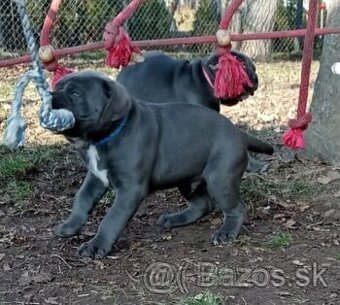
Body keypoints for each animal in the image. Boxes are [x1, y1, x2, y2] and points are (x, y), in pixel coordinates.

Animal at [51, 70, 274, 258]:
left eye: (75, 93)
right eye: (56, 86)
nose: (50, 96)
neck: (103, 138)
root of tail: (238, 132)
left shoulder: (130, 189)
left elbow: (111, 218)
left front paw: (96, 246)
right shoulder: (96, 177)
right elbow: (82, 199)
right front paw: (71, 226)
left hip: (220, 180)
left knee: (236, 208)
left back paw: (226, 233)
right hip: (187, 179)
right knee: (203, 204)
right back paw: (175, 219)